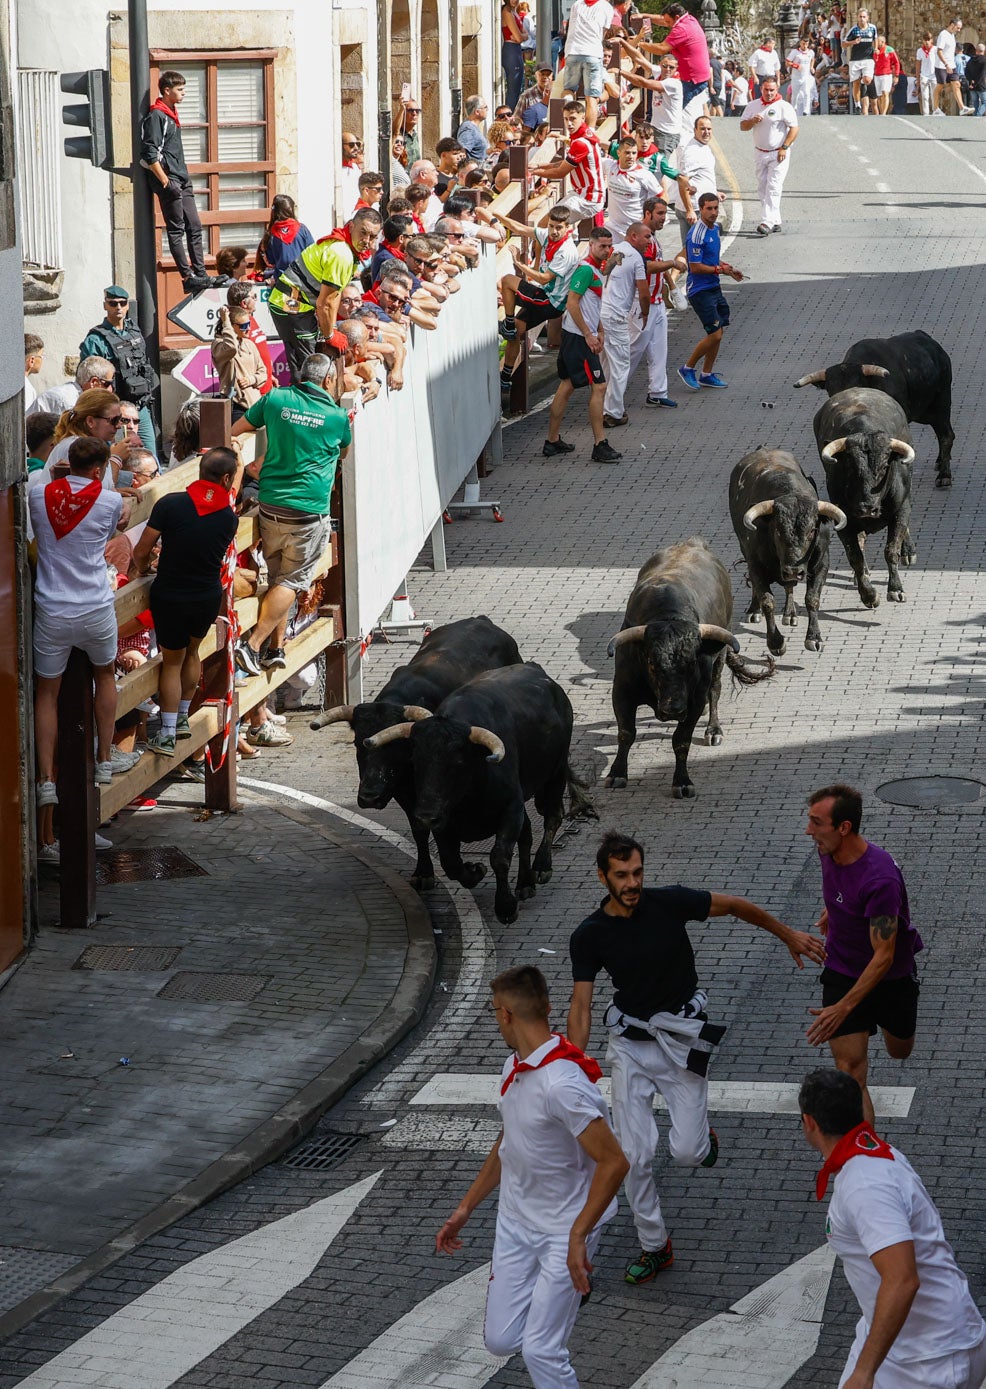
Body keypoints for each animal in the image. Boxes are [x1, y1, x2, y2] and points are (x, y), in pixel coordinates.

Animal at [311, 619, 524, 888]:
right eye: (358, 742)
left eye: (397, 746)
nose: (369, 797)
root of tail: (481, 620)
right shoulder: (404, 792)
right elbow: (419, 829)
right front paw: (424, 872)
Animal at [363, 661, 594, 922]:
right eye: (415, 761)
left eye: (457, 763)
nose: (425, 815)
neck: (469, 797)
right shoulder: (445, 821)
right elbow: (450, 862)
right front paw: (474, 872)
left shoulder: (511, 807)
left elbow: (500, 856)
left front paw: (505, 906)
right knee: (527, 834)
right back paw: (525, 883)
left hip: (556, 773)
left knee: (552, 816)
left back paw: (541, 867)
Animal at [605, 536, 777, 800]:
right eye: (651, 663)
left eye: (692, 664)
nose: (673, 708)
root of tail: (693, 542)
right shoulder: (622, 690)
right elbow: (626, 733)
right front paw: (616, 774)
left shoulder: (694, 699)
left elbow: (681, 740)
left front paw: (682, 782)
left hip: (719, 659)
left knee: (715, 690)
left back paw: (713, 729)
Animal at [727, 450, 849, 655]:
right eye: (777, 530)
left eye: (812, 531)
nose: (793, 570)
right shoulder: (755, 565)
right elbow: (767, 600)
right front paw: (776, 642)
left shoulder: (821, 564)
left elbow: (812, 598)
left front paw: (814, 638)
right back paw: (754, 610)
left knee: (789, 586)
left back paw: (790, 613)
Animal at [794, 330, 955, 488]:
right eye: (830, 390)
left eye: (857, 385)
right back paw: (940, 461)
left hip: (942, 403)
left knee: (946, 435)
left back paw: (944, 475)